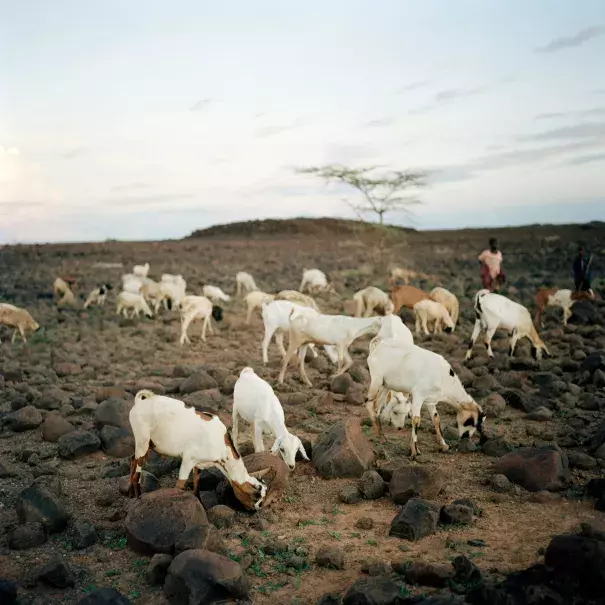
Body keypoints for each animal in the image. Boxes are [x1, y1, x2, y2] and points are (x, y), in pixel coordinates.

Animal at [129, 386, 268, 510]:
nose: (257, 509)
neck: (221, 446)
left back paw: (130, 494)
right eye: (255, 497)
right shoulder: (187, 460)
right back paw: (137, 498)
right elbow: (180, 486)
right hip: (142, 442)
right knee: (137, 473)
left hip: (148, 445)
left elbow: (196, 487)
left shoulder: (199, 464)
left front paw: (202, 506)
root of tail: (140, 402)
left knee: (132, 460)